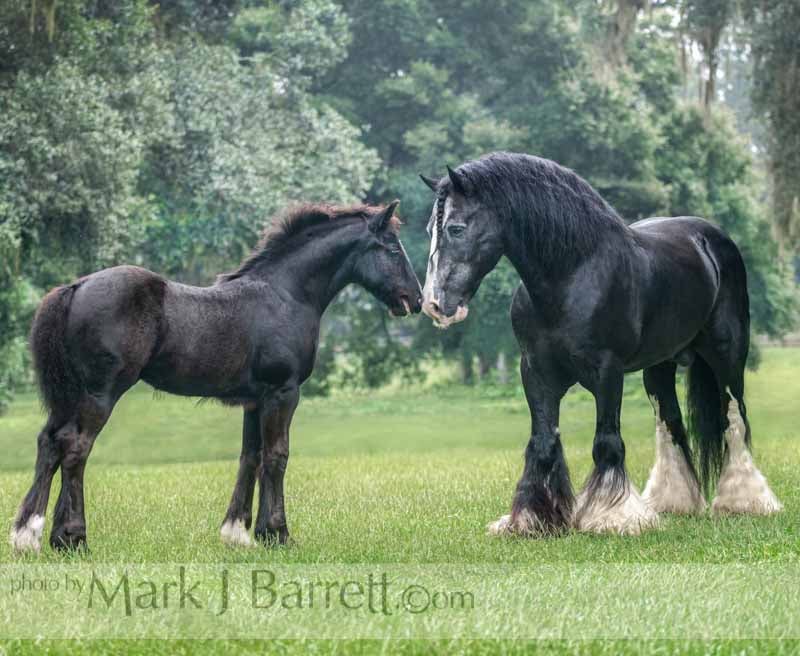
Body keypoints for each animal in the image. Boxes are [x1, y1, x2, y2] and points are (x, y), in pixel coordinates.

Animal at [10, 202, 424, 552]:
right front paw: (278, 534)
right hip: (100, 393)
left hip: (70, 395)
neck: (285, 295)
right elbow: (277, 455)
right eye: (392, 249)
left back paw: (29, 535)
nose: (416, 300)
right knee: (75, 448)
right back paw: (72, 538)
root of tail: (75, 287)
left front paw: (239, 533)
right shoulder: (283, 392)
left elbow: (251, 456)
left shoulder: (256, 400)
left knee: (49, 443)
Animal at [418, 154, 780, 540]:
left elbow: (607, 440)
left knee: (734, 419)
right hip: (659, 368)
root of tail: (712, 238)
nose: (435, 304)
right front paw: (533, 518)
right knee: (671, 425)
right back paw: (672, 503)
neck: (572, 274)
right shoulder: (535, 371)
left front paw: (612, 515)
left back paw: (745, 501)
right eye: (429, 230)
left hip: (727, 356)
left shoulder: (607, 371)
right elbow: (543, 442)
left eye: (456, 228)